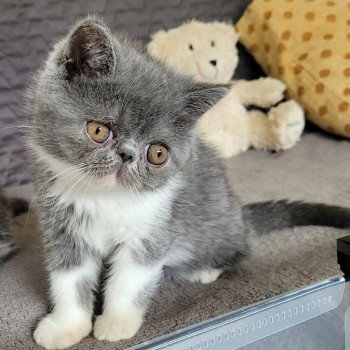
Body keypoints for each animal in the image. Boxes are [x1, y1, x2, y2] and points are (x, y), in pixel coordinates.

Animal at [27, 17, 350, 350]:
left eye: (157, 153)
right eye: (98, 130)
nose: (127, 155)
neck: (106, 198)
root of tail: (241, 216)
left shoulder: (155, 228)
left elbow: (129, 280)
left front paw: (116, 323)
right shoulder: (62, 227)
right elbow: (69, 278)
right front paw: (66, 327)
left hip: (218, 228)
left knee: (239, 249)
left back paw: (204, 269)